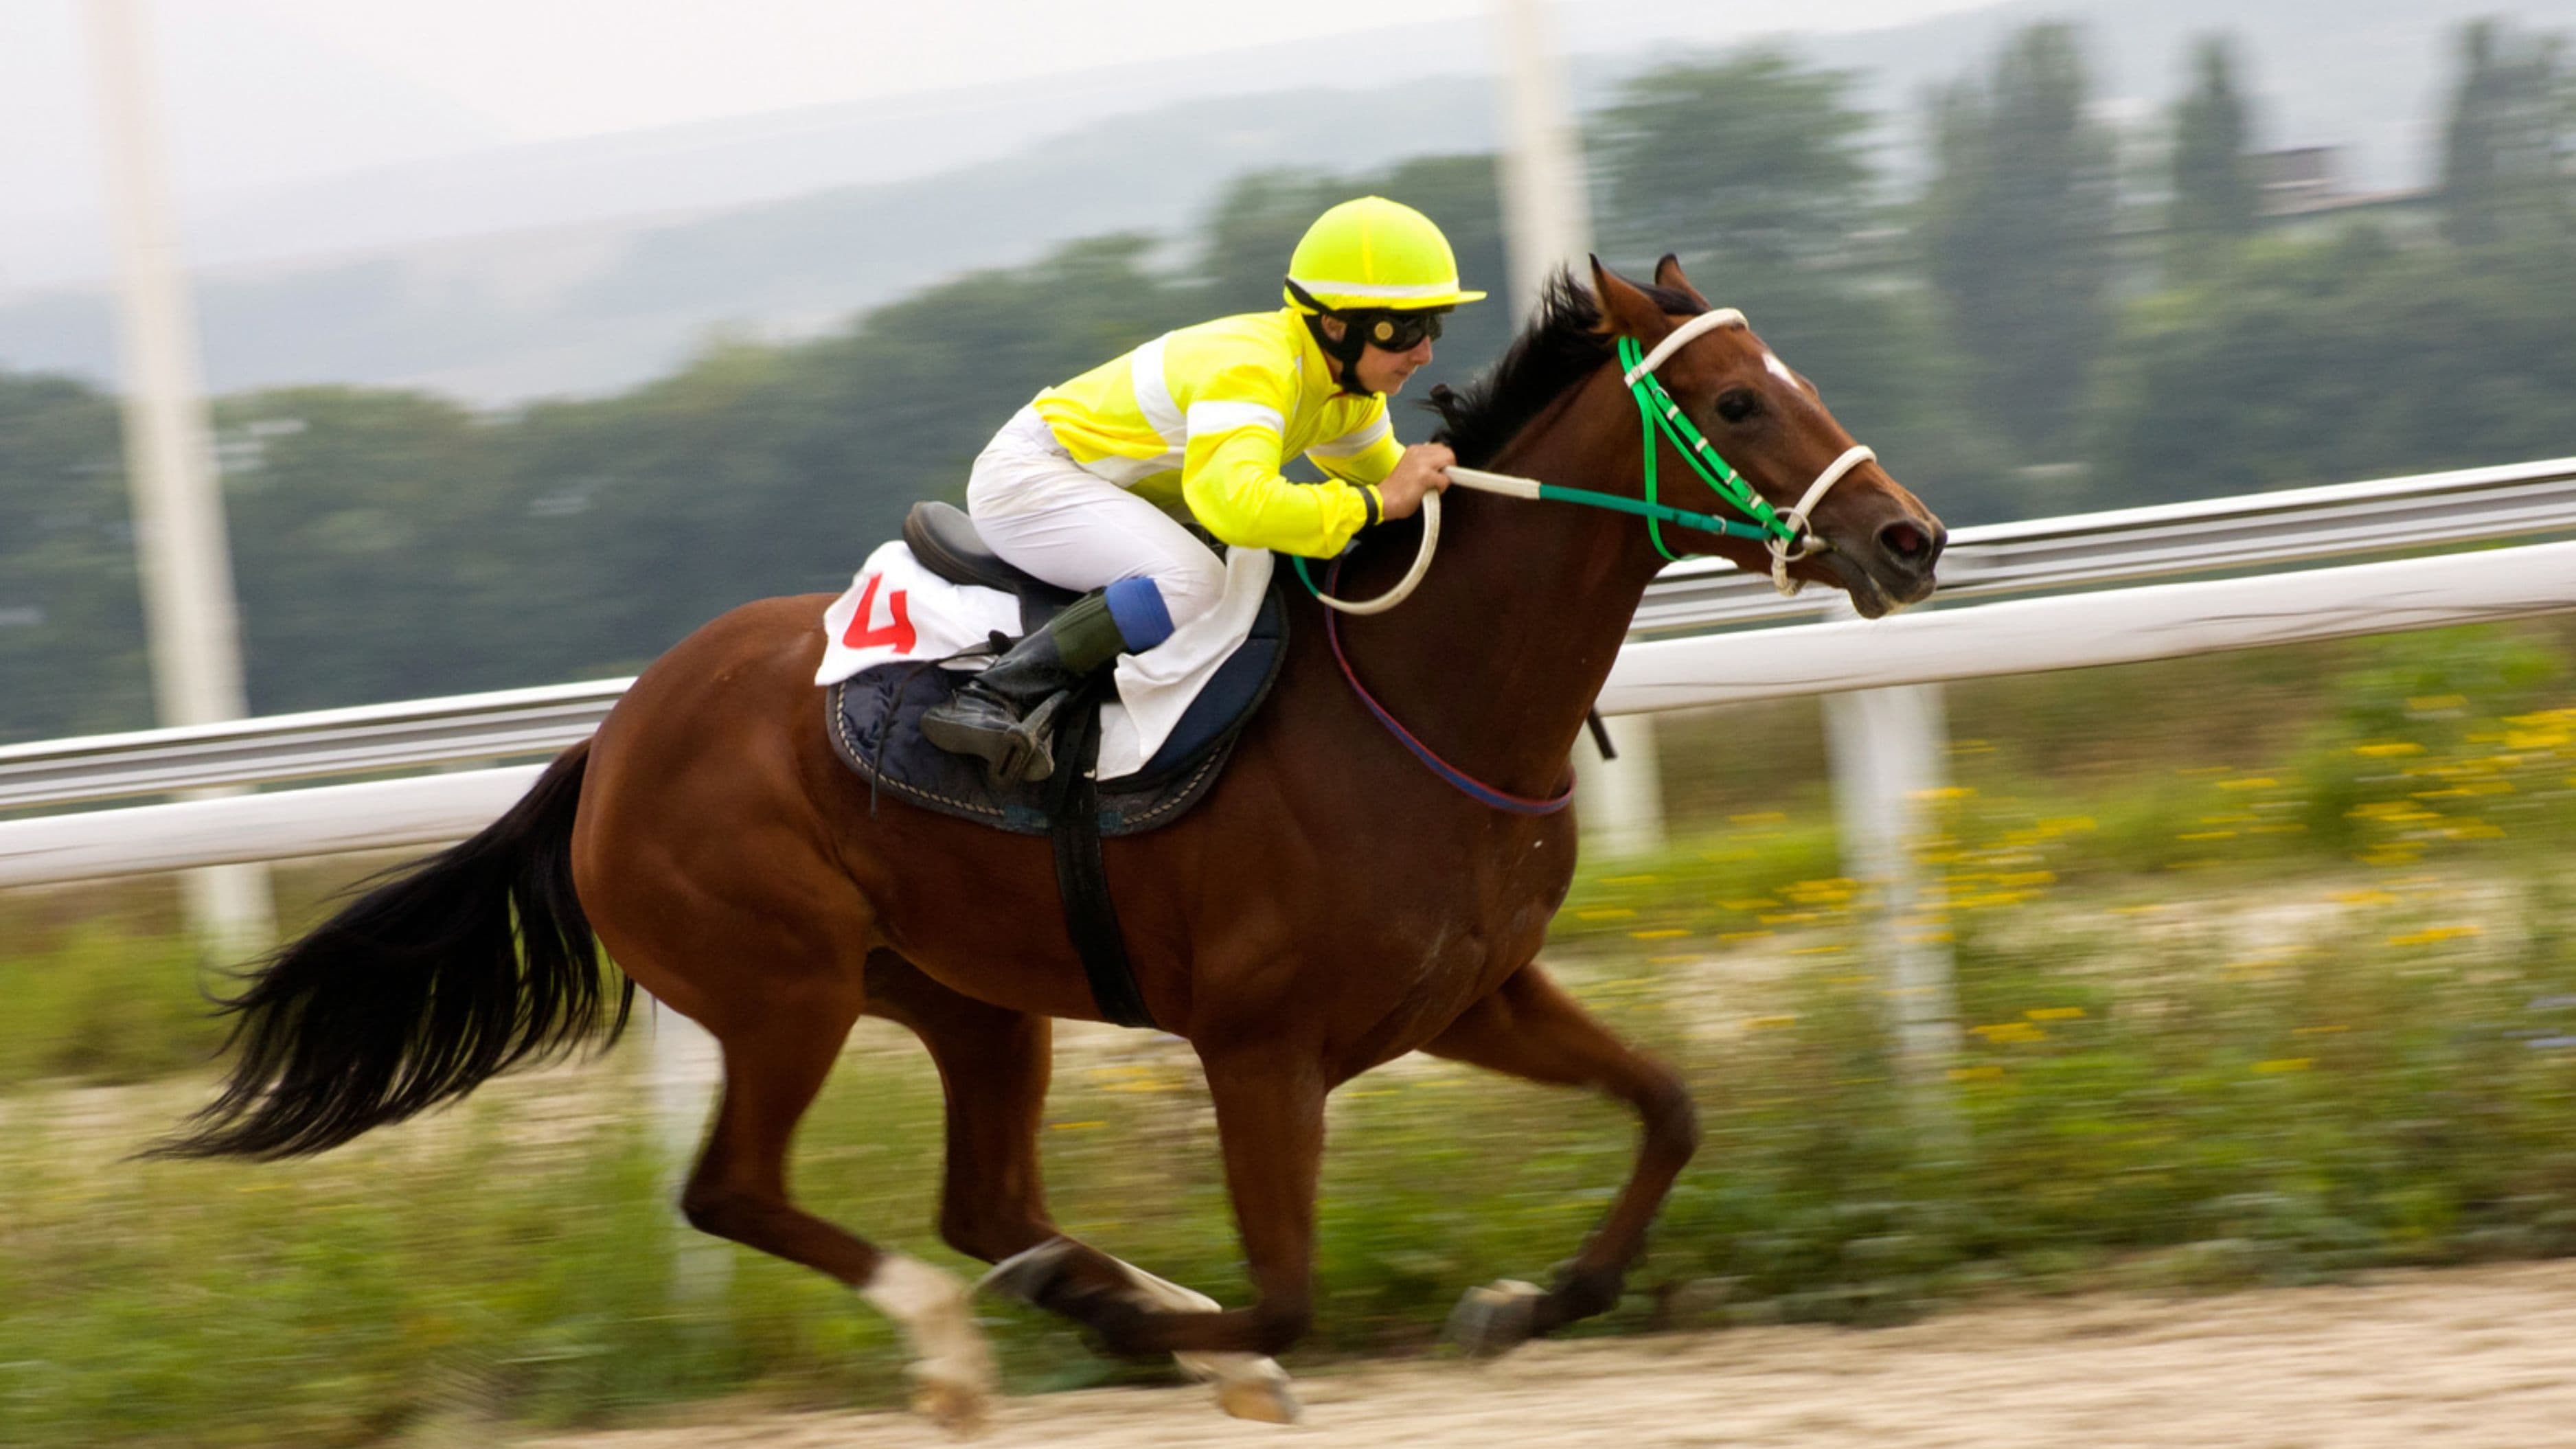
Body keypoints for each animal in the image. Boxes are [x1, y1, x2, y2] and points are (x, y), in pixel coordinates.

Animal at [159, 256, 1945, 1432]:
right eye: (1735, 398)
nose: (1909, 539)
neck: (1424, 699)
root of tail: (609, 741)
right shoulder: (1259, 1042)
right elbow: (1288, 1284)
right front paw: (1187, 1333)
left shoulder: (1470, 994)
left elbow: (1668, 1109)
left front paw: (1513, 1303)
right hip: (785, 987)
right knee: (744, 1191)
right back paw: (972, 1343)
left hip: (967, 996)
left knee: (983, 1196)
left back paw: (1075, 1299)